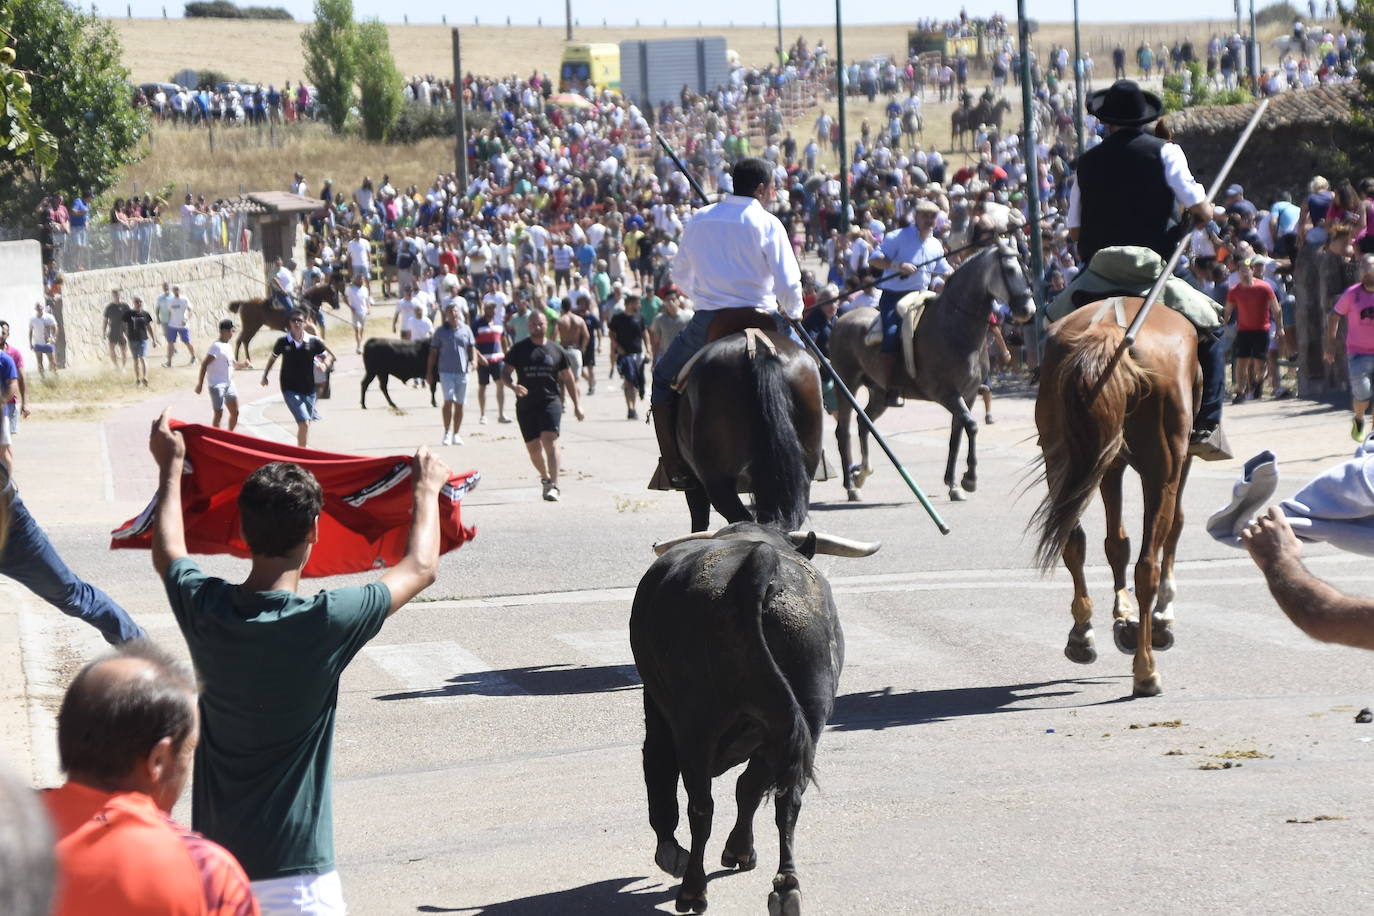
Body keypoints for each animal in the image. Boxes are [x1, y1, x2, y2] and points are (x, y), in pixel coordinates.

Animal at [632, 521, 879, 916]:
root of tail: (760, 562)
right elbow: (749, 788)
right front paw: (740, 849)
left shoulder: (659, 717)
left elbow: (661, 783)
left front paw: (671, 853)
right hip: (806, 717)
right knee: (787, 798)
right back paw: (786, 886)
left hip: (694, 726)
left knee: (700, 806)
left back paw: (693, 891)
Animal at [818, 238, 1033, 502]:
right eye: (1010, 270)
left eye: (1026, 268)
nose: (1027, 310)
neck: (956, 327)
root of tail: (841, 320)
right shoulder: (947, 393)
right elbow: (972, 426)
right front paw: (969, 479)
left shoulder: (968, 395)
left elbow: (956, 436)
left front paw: (953, 484)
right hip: (846, 385)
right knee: (843, 431)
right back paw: (851, 486)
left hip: (878, 393)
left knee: (863, 422)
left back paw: (862, 473)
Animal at [1027, 298, 1198, 697]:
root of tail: (1109, 333)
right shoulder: (1178, 464)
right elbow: (1174, 527)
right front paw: (1159, 617)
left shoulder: (1108, 463)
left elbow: (1115, 543)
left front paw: (1123, 617)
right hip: (1162, 470)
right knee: (1148, 565)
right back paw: (1146, 669)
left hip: (1064, 460)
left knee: (1073, 541)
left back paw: (1082, 635)